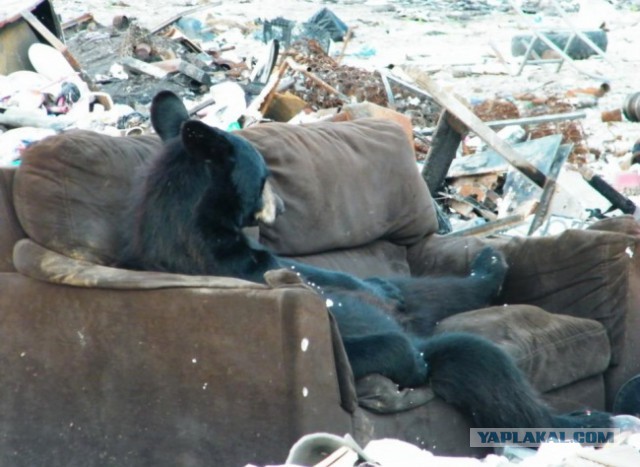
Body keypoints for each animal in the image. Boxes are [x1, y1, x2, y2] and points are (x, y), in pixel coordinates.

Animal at [121, 91, 616, 432]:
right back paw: (584, 421)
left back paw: (489, 264)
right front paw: (411, 363)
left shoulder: (251, 254)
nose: (281, 205)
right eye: (264, 177)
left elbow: (326, 272)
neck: (193, 224)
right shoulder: (230, 263)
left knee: (426, 290)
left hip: (413, 298)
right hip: (445, 346)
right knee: (483, 367)